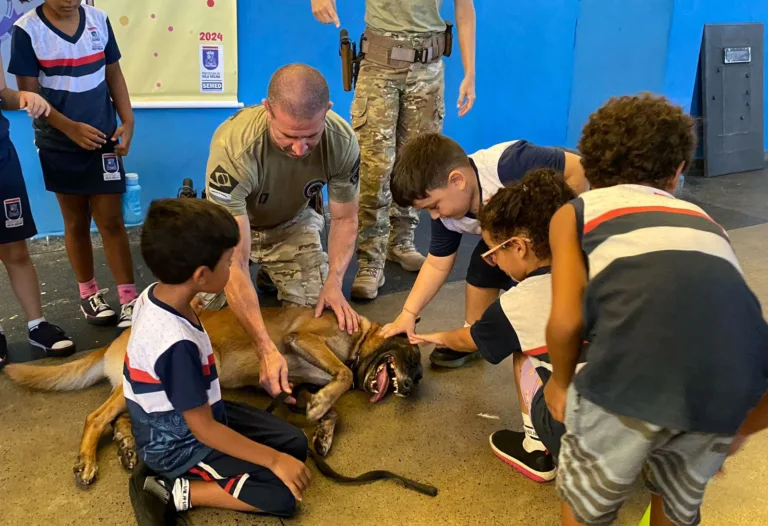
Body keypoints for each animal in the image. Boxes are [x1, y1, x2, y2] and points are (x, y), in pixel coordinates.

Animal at [3, 308, 424, 488]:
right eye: (414, 359)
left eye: (418, 370)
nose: (413, 385)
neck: (359, 339)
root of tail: (116, 339)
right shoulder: (302, 340)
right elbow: (343, 375)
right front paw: (324, 407)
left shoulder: (294, 385)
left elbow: (333, 405)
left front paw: (323, 430)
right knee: (95, 417)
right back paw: (87, 463)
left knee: (118, 419)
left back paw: (125, 447)